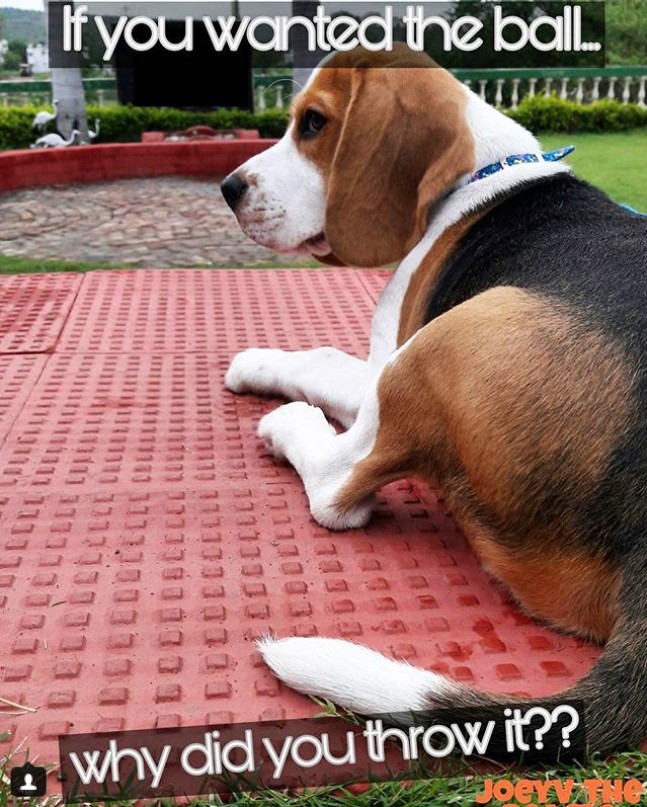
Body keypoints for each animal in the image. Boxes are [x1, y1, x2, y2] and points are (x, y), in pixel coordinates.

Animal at [221, 47, 647, 756]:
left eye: (313, 124)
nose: (229, 188)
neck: (473, 176)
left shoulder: (379, 364)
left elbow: (320, 359)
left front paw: (257, 362)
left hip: (445, 340)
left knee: (337, 492)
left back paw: (293, 425)